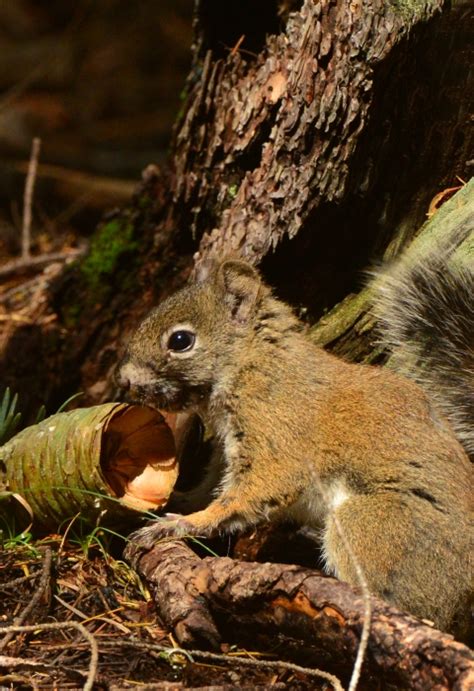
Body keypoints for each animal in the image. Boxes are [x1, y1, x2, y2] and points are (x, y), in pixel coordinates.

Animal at [118, 237, 473, 637]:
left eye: (180, 340)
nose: (123, 379)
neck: (252, 362)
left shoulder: (277, 435)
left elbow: (250, 493)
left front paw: (180, 525)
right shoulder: (227, 449)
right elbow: (208, 487)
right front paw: (177, 500)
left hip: (374, 528)